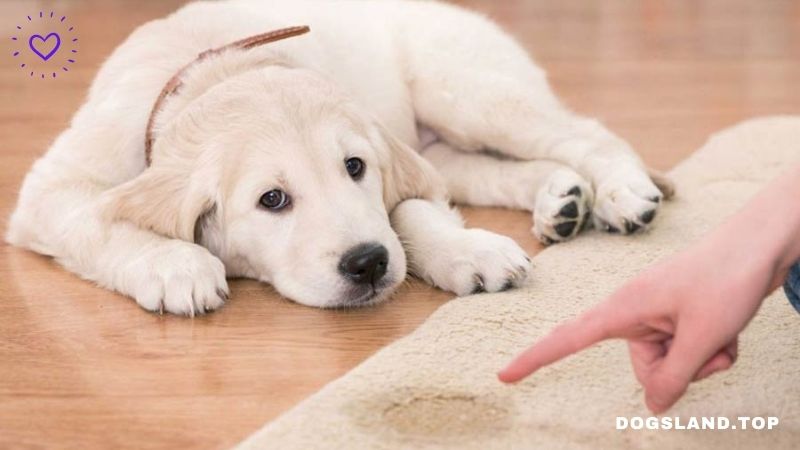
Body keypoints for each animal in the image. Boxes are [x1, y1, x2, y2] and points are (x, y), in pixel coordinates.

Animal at [6, 0, 672, 314]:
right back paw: (562, 199)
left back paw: (621, 193)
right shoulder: (52, 189)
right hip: (447, 139)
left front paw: (467, 251)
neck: (216, 69)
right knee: (491, 169)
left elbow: (408, 212)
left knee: (584, 132)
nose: (368, 264)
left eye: (355, 168)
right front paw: (176, 265)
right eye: (272, 199)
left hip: (466, 89)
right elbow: (98, 220)